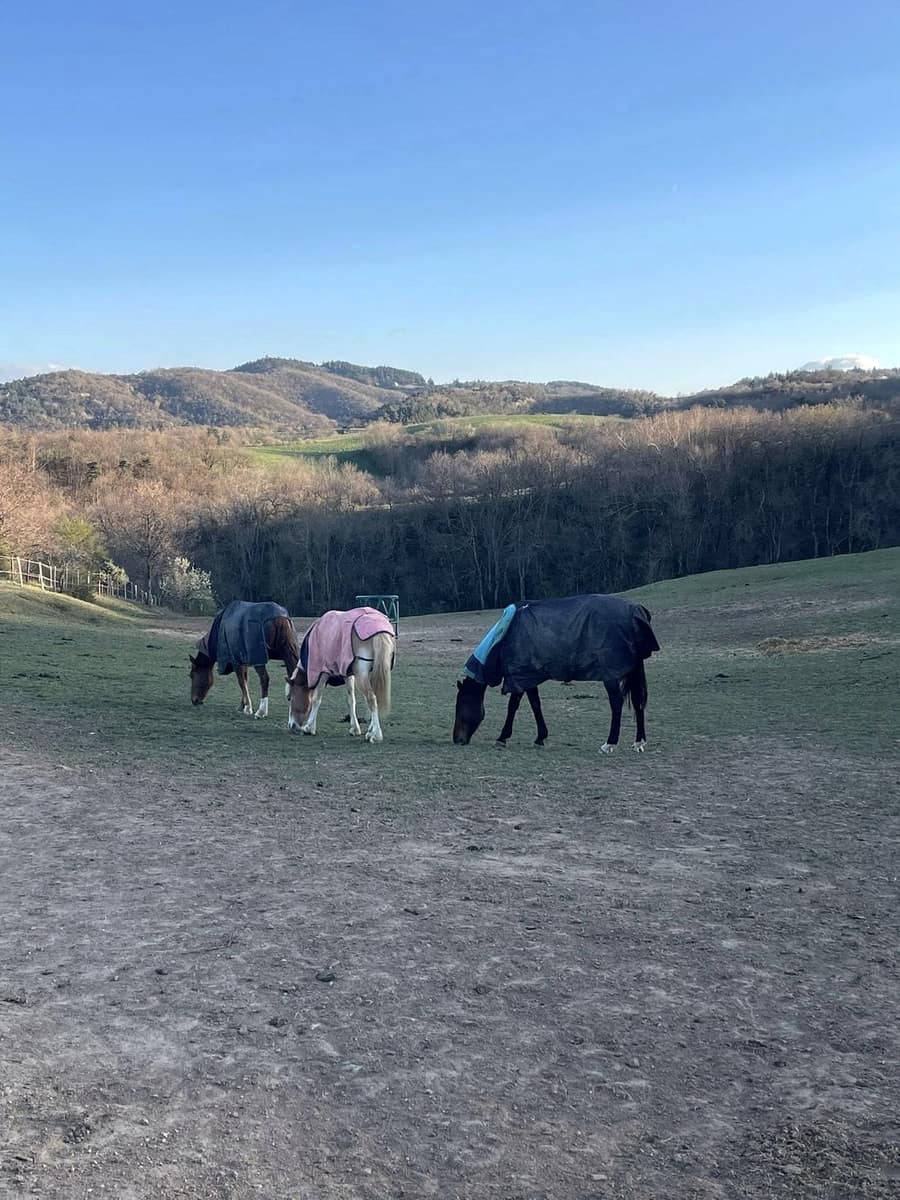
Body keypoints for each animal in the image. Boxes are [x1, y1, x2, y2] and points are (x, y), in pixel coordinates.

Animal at [286, 606, 395, 743]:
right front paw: (355, 728)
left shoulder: (323, 672)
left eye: (289, 698)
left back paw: (375, 734)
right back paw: (371, 731)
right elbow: (351, 700)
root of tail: (379, 628)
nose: (291, 726)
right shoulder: (347, 674)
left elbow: (317, 699)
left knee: (371, 698)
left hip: (362, 675)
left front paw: (309, 727)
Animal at [453, 594, 660, 752]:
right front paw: (540, 738)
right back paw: (639, 742)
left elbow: (513, 706)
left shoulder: (520, 676)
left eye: (461, 703)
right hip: (633, 670)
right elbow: (535, 705)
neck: (504, 637)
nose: (457, 739)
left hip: (609, 675)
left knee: (616, 703)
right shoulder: (529, 677)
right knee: (638, 701)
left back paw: (610, 743)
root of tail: (636, 611)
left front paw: (502, 737)